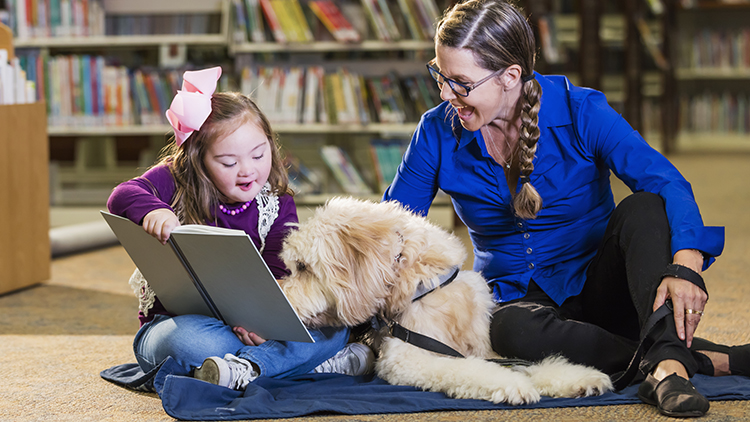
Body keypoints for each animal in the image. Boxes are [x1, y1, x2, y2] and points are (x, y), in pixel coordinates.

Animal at [280, 196, 612, 404]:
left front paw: (579, 378)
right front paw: (513, 385)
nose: (283, 297)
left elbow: (526, 365)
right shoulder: (405, 359)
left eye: (303, 267)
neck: (422, 284)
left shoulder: (486, 349)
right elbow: (466, 369)